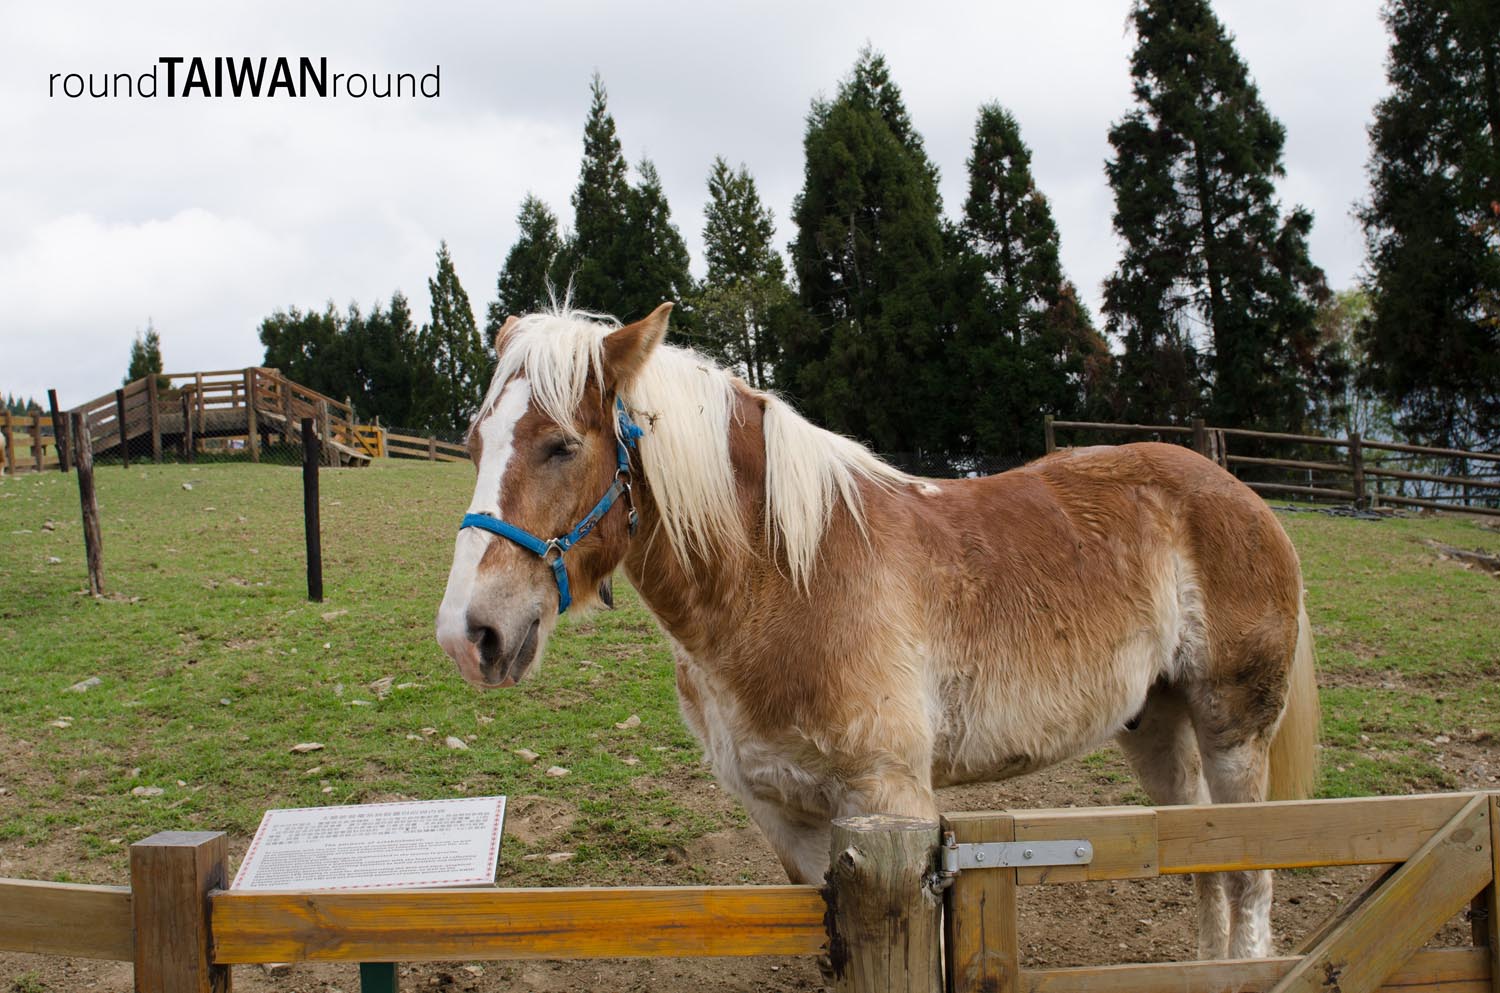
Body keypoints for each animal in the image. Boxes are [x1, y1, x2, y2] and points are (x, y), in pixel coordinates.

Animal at [436, 302, 1319, 960]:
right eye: (473, 443)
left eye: (561, 445)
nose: (469, 634)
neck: (788, 577)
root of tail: (1237, 490)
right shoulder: (786, 818)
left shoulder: (894, 803)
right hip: (1155, 725)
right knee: (1205, 864)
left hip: (1234, 732)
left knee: (1251, 879)